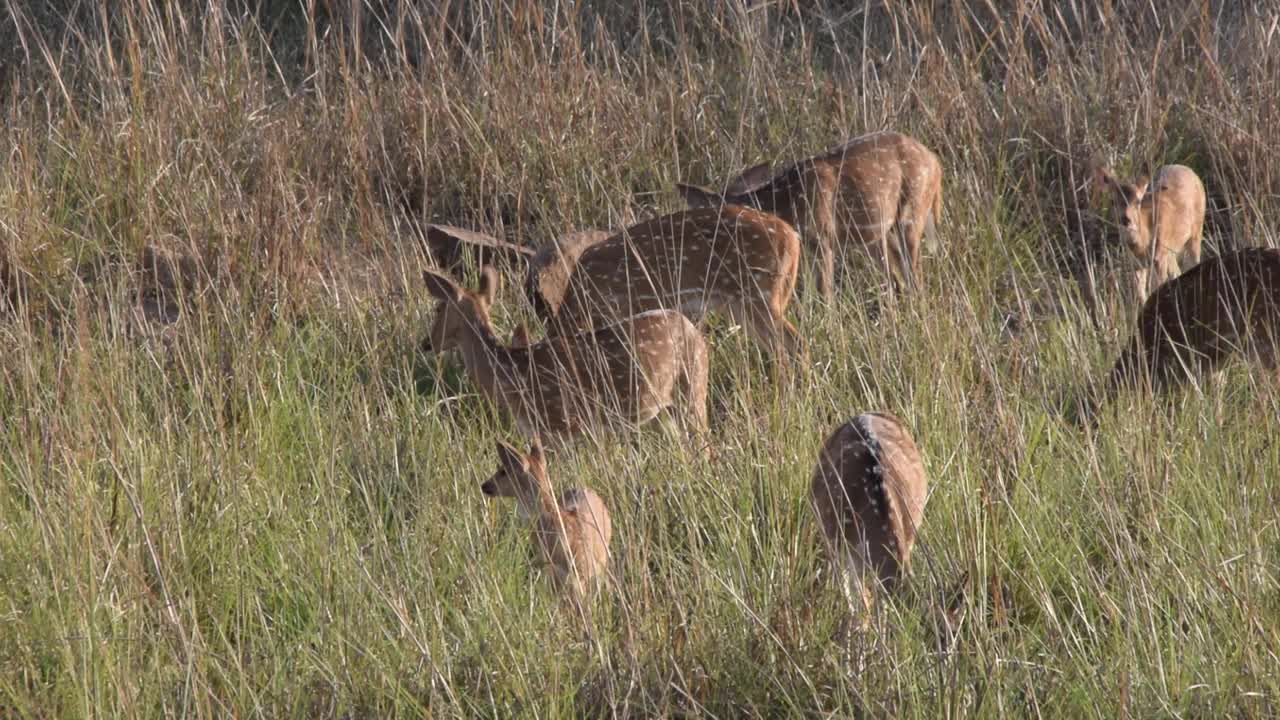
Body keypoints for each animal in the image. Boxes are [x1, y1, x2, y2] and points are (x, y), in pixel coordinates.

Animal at [424, 263, 716, 443]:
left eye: (438, 308)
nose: (426, 343)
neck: (512, 373)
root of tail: (694, 330)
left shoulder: (562, 425)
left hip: (693, 388)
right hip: (663, 410)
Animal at [675, 131, 947, 297]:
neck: (787, 202)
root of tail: (935, 161)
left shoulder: (823, 235)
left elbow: (824, 290)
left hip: (912, 211)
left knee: (915, 277)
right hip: (876, 232)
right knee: (897, 281)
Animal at [1095, 163, 1203, 301]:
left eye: (1138, 201)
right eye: (1112, 201)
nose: (1126, 219)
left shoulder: (1159, 257)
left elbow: (1155, 290)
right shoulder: (1136, 263)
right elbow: (1141, 294)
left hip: (1196, 231)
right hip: (1170, 251)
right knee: (1177, 272)